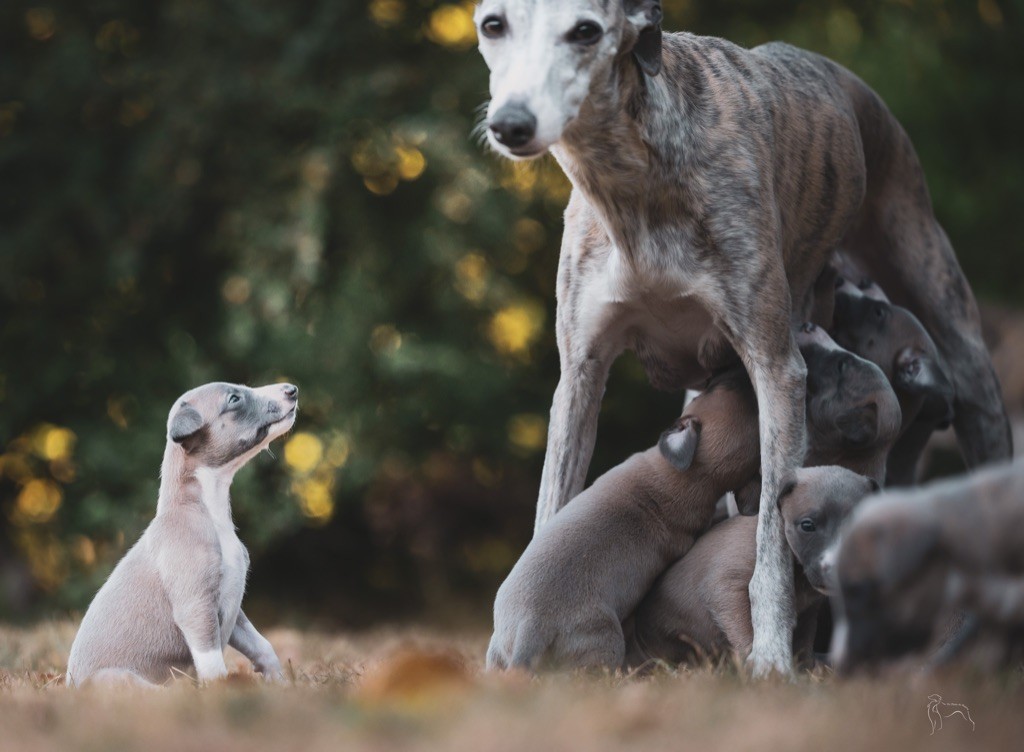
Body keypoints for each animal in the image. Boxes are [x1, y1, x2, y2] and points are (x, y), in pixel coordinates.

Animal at [66, 383, 299, 688]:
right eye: (234, 399)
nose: (291, 389)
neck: (208, 510)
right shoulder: (196, 607)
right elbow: (213, 664)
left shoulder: (233, 610)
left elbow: (262, 645)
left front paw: (280, 683)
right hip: (117, 678)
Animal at [626, 469, 876, 667]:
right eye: (808, 525)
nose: (838, 570)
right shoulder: (727, 585)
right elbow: (746, 628)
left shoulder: (809, 610)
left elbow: (804, 642)